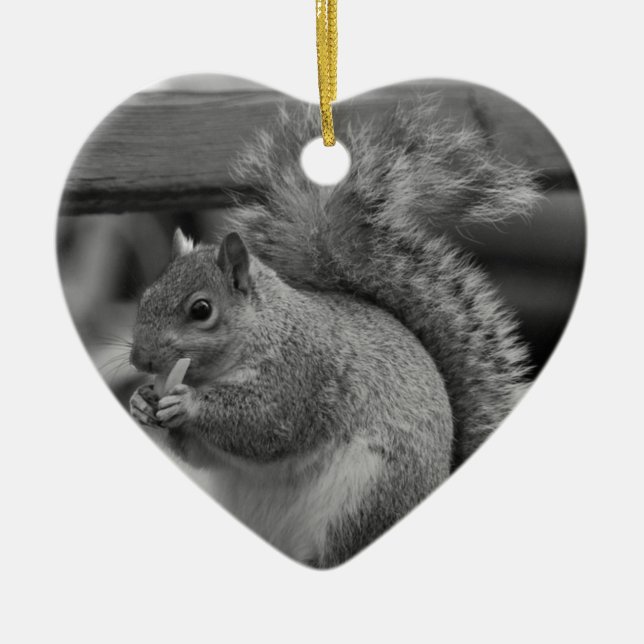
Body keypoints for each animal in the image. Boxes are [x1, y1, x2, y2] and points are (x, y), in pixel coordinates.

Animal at [129, 103, 539, 568]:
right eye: (145, 296)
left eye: (201, 310)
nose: (139, 360)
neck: (267, 329)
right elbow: (203, 456)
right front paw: (142, 401)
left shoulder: (303, 375)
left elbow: (266, 425)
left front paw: (187, 401)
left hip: (367, 496)